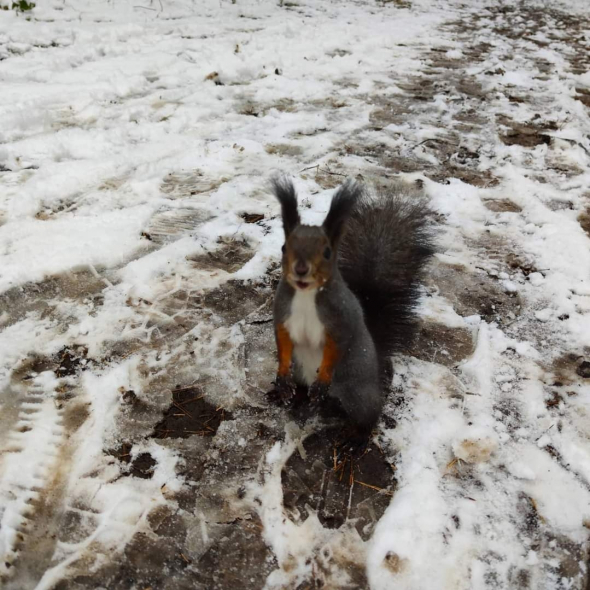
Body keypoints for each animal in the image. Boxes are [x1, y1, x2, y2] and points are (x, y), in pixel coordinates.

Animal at [272, 178, 434, 438]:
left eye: (327, 252)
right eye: (284, 247)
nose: (301, 269)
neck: (306, 295)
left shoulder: (342, 318)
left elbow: (338, 345)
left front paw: (322, 381)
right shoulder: (282, 314)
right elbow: (282, 342)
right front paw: (281, 378)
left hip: (355, 392)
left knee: (369, 413)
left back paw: (356, 438)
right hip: (302, 372)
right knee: (303, 390)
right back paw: (288, 395)